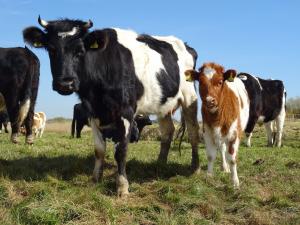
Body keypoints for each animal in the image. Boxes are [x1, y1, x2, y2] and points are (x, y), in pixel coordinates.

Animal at [23, 17, 199, 197]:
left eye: (80, 50)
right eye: (51, 49)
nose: (65, 83)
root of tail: (187, 46)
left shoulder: (126, 111)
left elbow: (121, 151)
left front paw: (122, 187)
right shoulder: (93, 112)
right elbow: (99, 150)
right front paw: (95, 179)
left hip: (189, 97)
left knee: (193, 131)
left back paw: (195, 168)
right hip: (163, 105)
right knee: (167, 132)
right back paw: (160, 164)